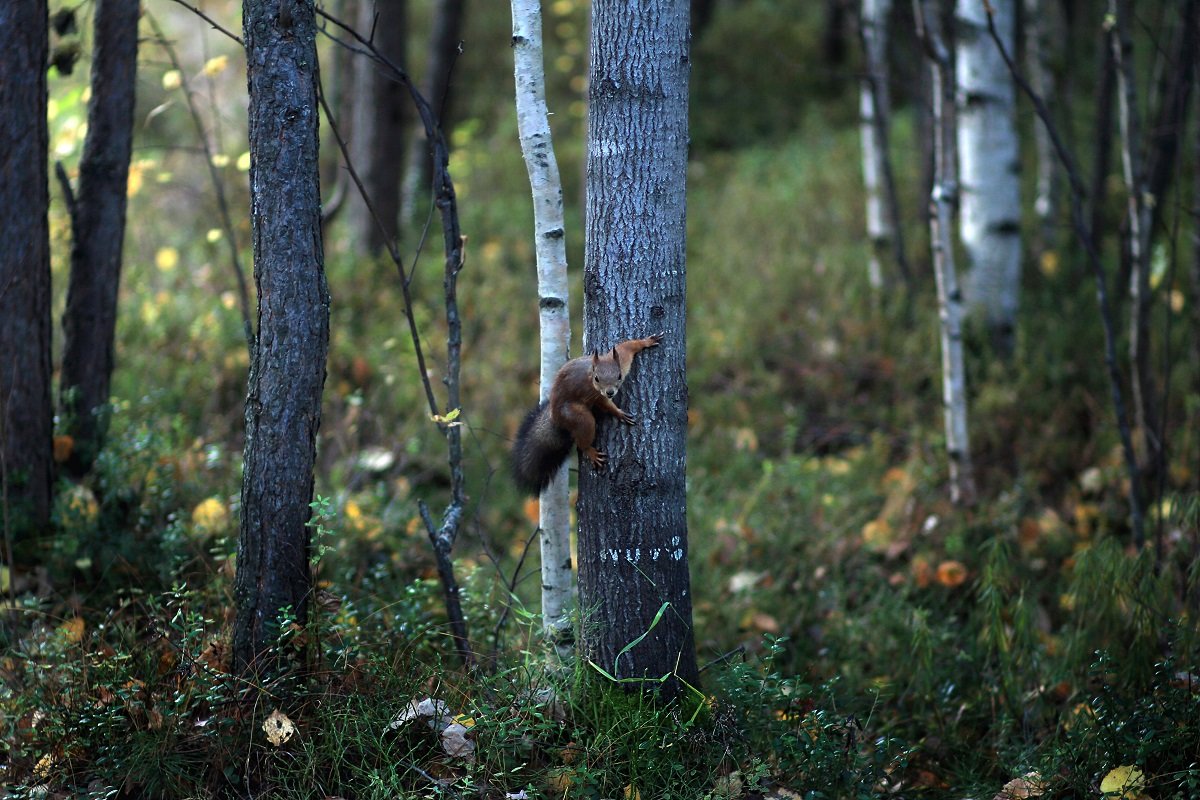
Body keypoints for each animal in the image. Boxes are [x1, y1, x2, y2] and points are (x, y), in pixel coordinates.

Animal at [508, 331, 667, 494]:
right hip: (576, 416)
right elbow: (604, 405)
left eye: (619, 376)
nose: (610, 392)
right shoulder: (592, 394)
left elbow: (626, 347)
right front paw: (619, 413)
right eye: (597, 379)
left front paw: (646, 341)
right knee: (583, 436)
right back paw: (590, 451)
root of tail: (555, 416)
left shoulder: (622, 360)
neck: (590, 374)